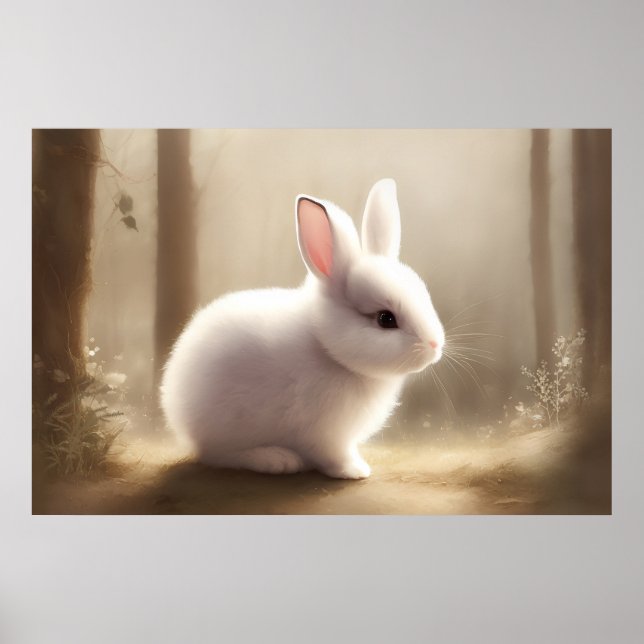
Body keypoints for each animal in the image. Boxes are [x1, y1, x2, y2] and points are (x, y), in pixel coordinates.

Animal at [160, 179, 444, 479]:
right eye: (385, 319)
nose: (435, 345)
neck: (330, 352)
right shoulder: (326, 436)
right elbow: (334, 457)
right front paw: (355, 471)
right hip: (227, 427)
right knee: (217, 455)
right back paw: (275, 460)